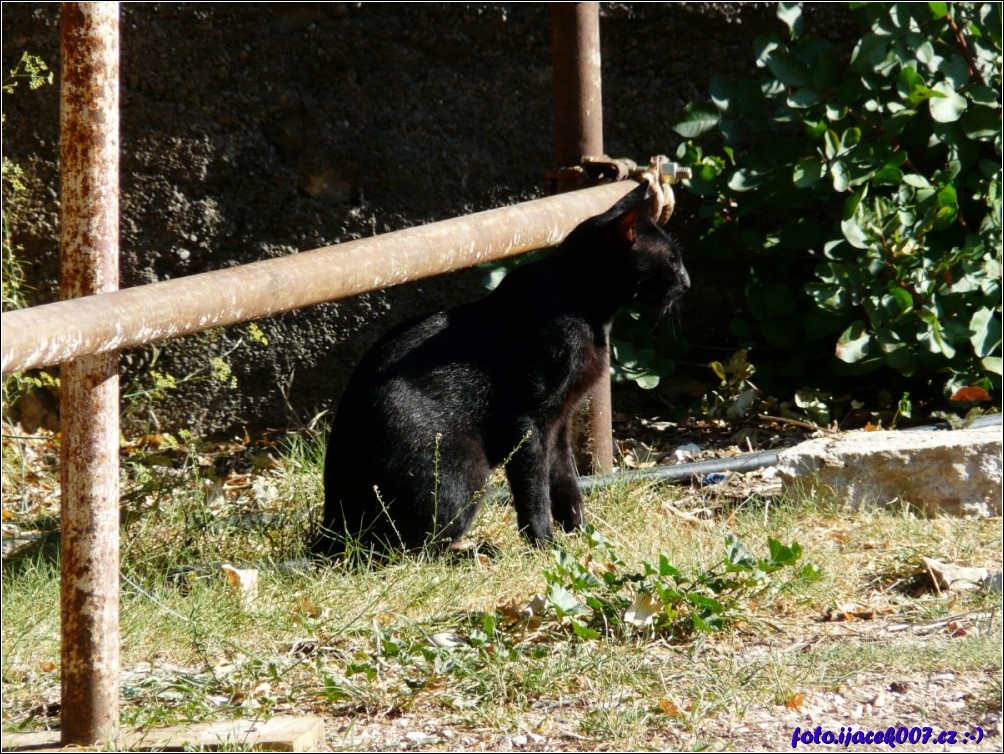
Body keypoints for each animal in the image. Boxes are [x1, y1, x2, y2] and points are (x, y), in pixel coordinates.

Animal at [315, 184, 690, 554]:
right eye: (672, 259)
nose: (687, 282)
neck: (582, 306)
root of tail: (331, 526)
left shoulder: (560, 422)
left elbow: (565, 479)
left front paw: (581, 533)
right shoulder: (527, 422)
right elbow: (533, 488)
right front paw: (545, 544)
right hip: (465, 468)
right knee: (410, 548)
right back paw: (477, 552)